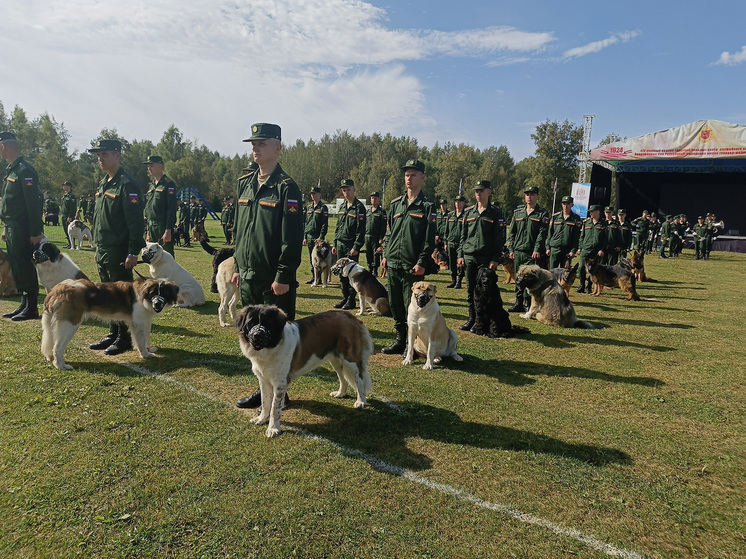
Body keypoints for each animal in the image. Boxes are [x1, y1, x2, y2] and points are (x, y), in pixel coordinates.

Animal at [40, 276, 179, 372]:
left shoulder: (146, 320)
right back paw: (61, 365)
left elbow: (146, 338)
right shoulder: (138, 323)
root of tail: (57, 289)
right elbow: (141, 340)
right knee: (57, 347)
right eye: (153, 293)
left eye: (164, 293)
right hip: (70, 325)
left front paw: (149, 349)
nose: (157, 304)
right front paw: (145, 354)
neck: (144, 297)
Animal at [235, 304, 372, 440]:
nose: (257, 335)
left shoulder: (280, 383)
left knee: (359, 380)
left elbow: (275, 408)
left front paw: (273, 429)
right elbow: (265, 402)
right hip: (335, 359)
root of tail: (350, 316)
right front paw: (262, 419)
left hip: (350, 359)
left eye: (268, 323)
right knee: (342, 377)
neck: (270, 347)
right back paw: (340, 393)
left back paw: (361, 401)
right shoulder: (263, 380)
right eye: (250, 323)